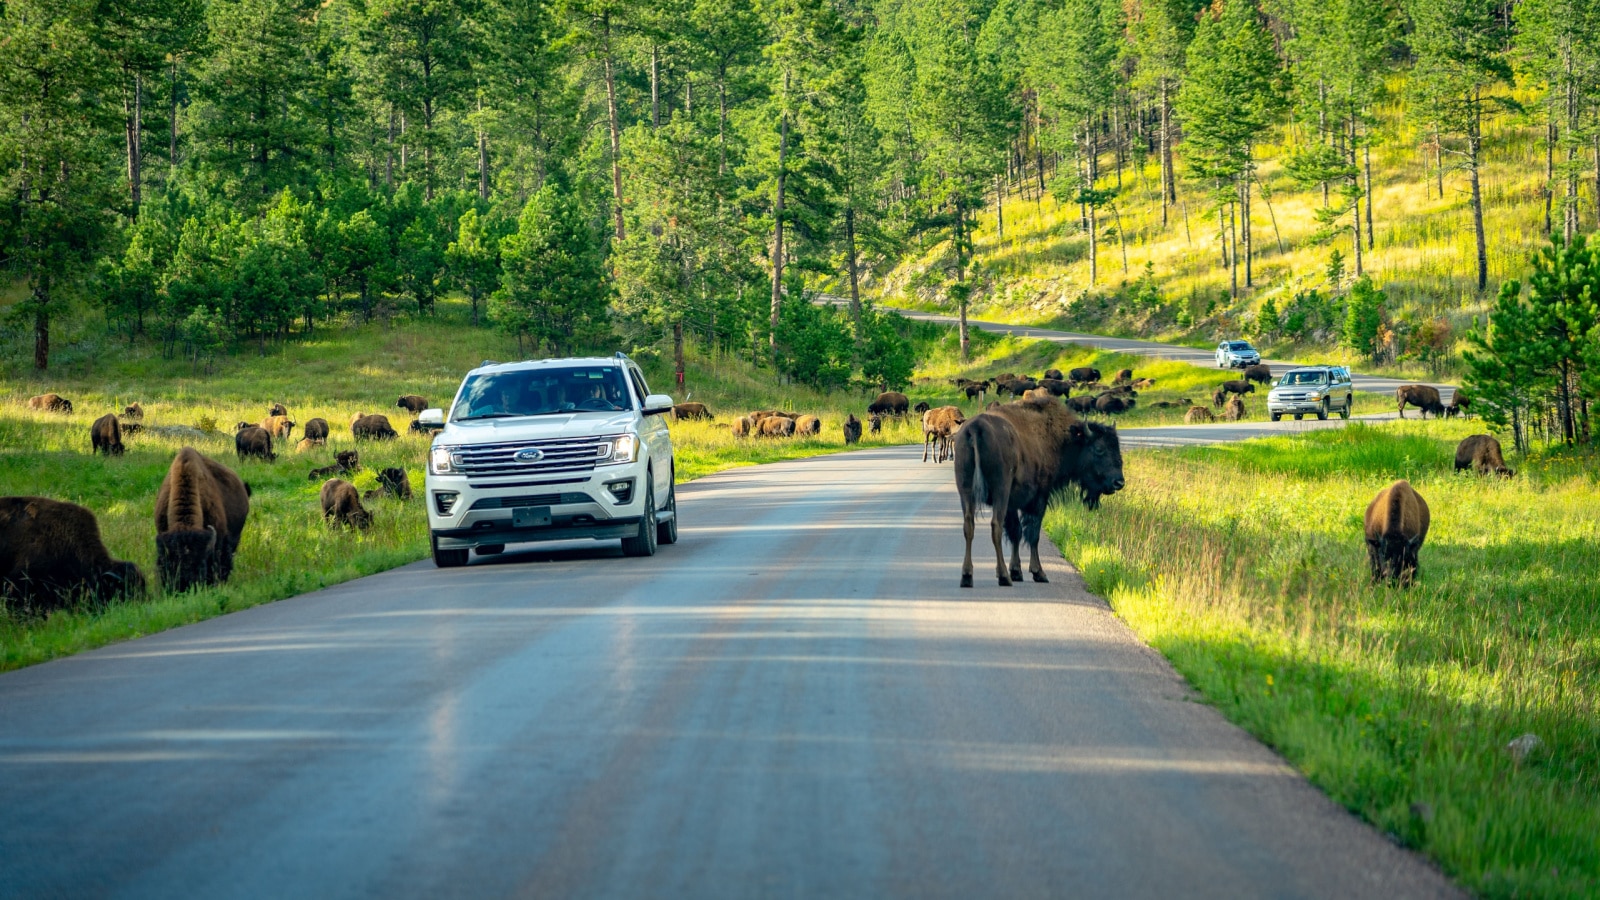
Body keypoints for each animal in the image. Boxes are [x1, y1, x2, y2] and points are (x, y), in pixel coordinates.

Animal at [953, 393, 1132, 589]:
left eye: (1117, 447)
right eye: (1099, 449)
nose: (1118, 482)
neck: (1061, 438)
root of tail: (976, 428)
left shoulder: (1012, 504)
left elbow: (1016, 532)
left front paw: (1017, 571)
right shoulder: (1038, 498)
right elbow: (1033, 534)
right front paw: (1038, 572)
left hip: (966, 491)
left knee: (969, 526)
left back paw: (967, 576)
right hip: (1000, 491)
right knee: (996, 526)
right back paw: (1003, 576)